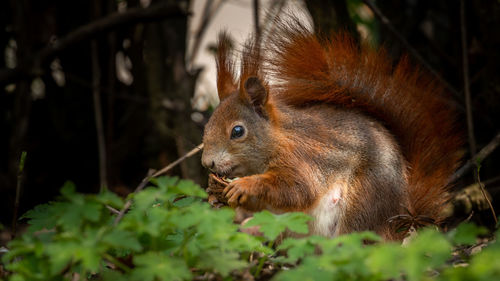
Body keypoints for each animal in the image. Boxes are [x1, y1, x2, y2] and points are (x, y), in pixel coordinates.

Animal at [199, 18, 460, 240]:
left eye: (237, 131)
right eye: (208, 125)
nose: (207, 163)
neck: (277, 139)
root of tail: (406, 217)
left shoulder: (303, 159)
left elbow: (298, 189)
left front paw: (245, 185)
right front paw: (215, 193)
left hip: (363, 200)